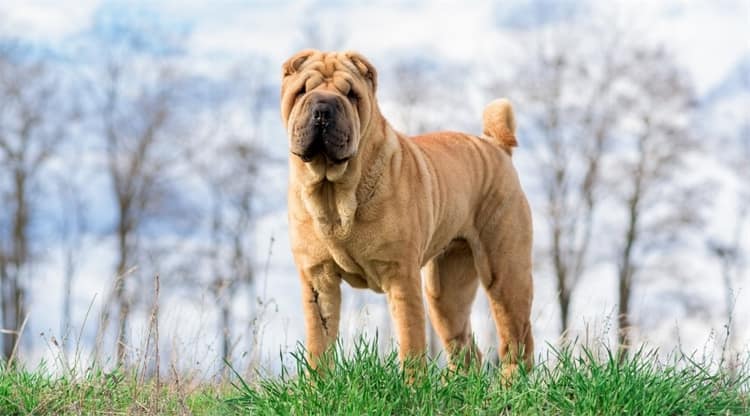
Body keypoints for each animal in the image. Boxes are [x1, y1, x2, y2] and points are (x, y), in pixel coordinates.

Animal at [280, 49, 536, 376]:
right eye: (302, 91)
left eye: (351, 95)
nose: (323, 107)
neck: (334, 194)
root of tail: (496, 145)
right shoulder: (318, 278)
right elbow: (318, 344)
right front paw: (317, 385)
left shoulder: (400, 274)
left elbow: (411, 340)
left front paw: (413, 385)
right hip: (446, 292)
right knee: (465, 347)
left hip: (505, 273)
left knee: (516, 341)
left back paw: (509, 385)